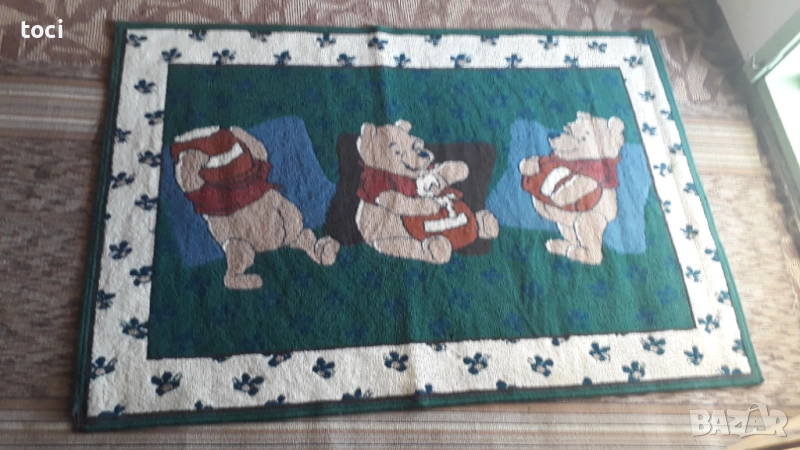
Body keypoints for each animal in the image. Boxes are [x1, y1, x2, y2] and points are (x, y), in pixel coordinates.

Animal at [171, 125, 340, 290]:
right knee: (229, 277)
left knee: (306, 236)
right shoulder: (200, 191)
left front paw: (235, 131)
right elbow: (189, 176)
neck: (236, 180)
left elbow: (258, 149)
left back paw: (326, 250)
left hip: (291, 234)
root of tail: (272, 247)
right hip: (240, 246)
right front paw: (195, 152)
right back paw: (251, 281)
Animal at [354, 119, 499, 264]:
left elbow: (443, 169)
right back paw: (436, 247)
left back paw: (487, 222)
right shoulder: (377, 185)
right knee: (405, 246)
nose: (423, 153)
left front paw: (459, 168)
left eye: (416, 145)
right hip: (392, 240)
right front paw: (431, 205)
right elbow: (400, 202)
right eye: (397, 152)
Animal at [518, 111, 625, 265]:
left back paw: (578, 254)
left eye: (584, 136)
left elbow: (579, 183)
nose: (554, 135)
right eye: (567, 129)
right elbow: (539, 161)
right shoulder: (551, 158)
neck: (572, 160)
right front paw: (529, 166)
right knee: (572, 237)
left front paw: (557, 195)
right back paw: (560, 246)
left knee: (593, 250)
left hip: (586, 221)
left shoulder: (596, 174)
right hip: (566, 225)